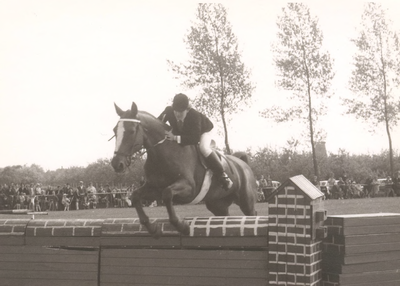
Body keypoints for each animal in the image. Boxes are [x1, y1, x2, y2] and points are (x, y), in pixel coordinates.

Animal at [111, 102, 258, 237]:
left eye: (131, 131)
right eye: (114, 131)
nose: (117, 164)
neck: (162, 153)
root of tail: (243, 163)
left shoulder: (189, 188)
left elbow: (167, 193)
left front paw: (181, 226)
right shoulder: (154, 188)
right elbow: (136, 196)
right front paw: (152, 228)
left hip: (246, 200)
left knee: (252, 214)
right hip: (217, 204)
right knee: (225, 215)